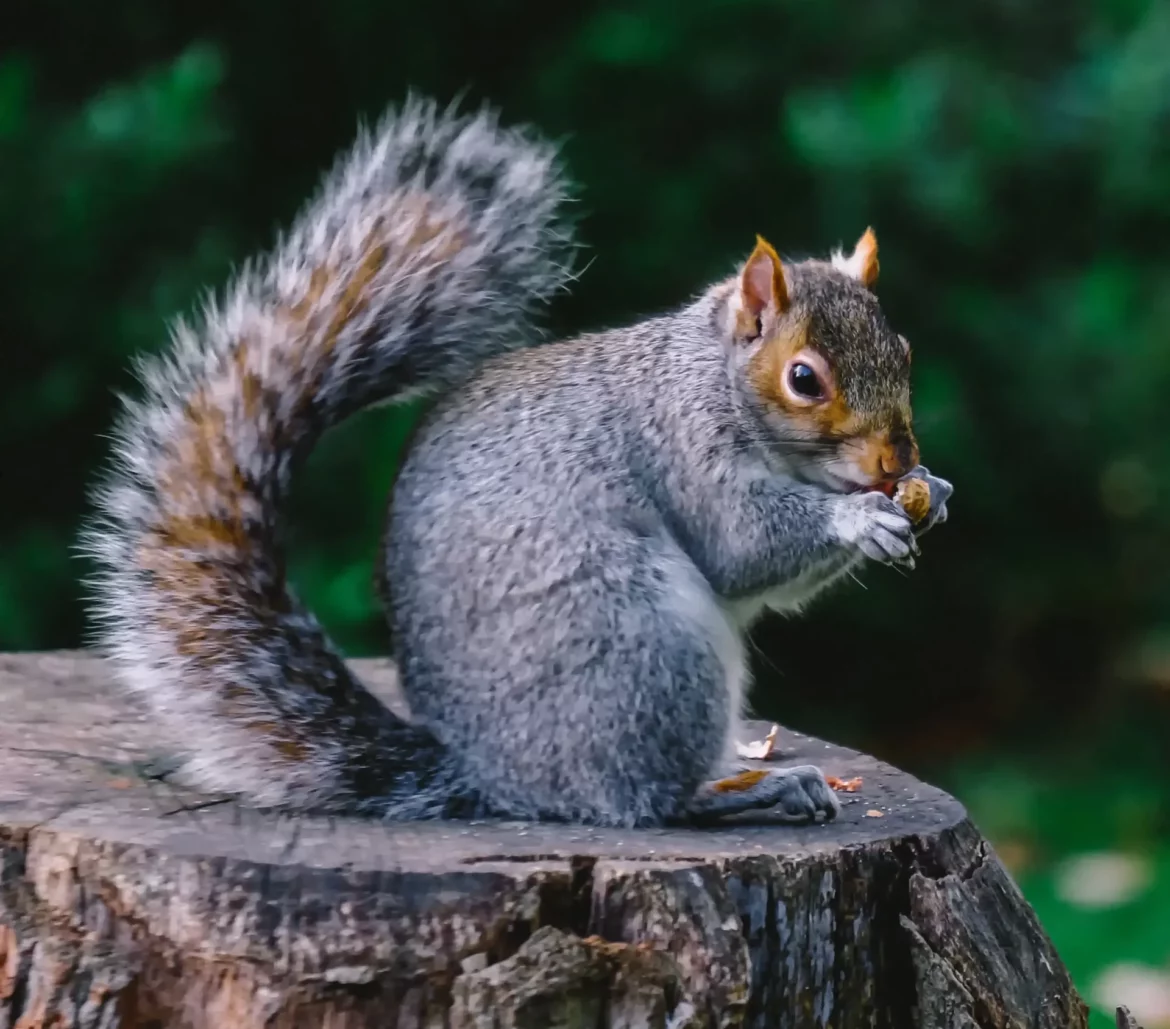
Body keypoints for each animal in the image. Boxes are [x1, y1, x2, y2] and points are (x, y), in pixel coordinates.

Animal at [88, 92, 950, 824]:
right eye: (804, 379)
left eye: (905, 350)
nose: (894, 460)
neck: (712, 378)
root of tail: (492, 778)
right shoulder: (683, 449)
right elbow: (743, 548)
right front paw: (860, 518)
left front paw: (931, 491)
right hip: (644, 647)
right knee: (644, 800)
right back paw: (749, 791)